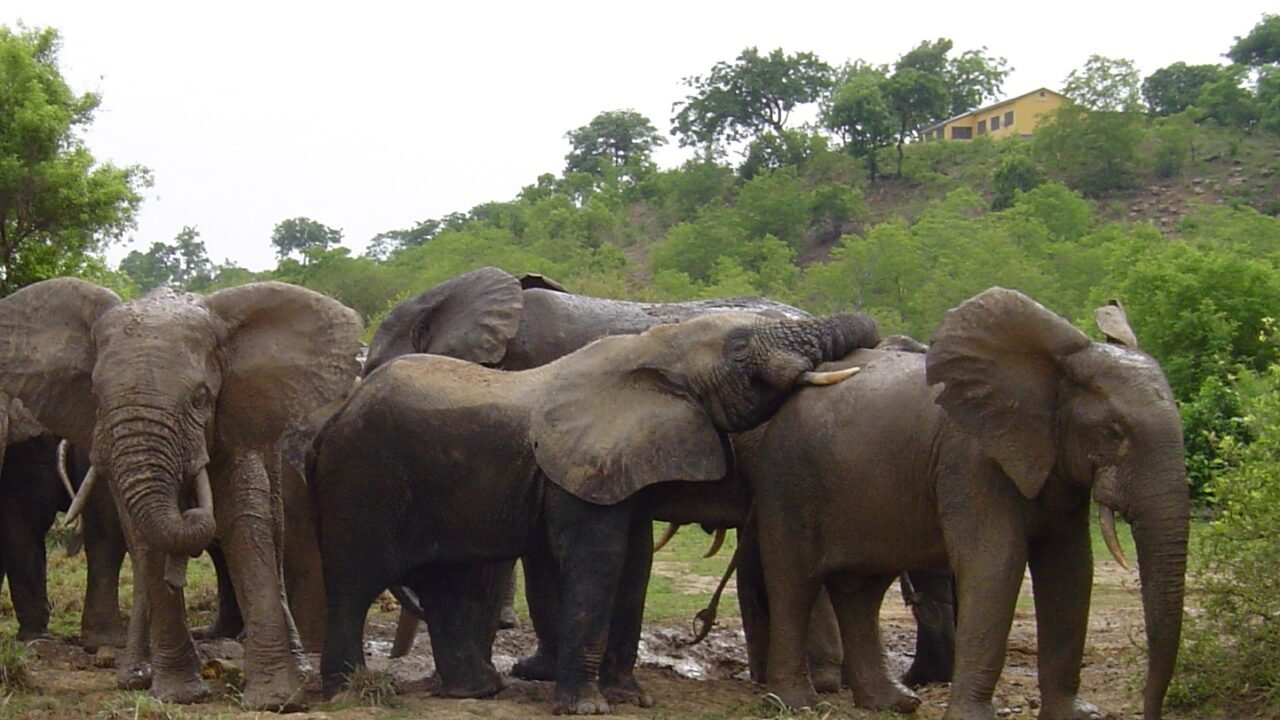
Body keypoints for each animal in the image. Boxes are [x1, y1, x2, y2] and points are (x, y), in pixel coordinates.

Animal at [0, 278, 362, 709]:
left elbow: (245, 524)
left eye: (200, 398)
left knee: (273, 529)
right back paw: (134, 675)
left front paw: (275, 700)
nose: (191, 509)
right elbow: (147, 537)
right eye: (95, 395)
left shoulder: (234, 419)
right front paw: (179, 695)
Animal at [308, 308, 881, 714]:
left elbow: (635, 563)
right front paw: (587, 707)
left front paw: (632, 698)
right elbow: (600, 560)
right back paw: (350, 693)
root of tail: (338, 413)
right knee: (355, 582)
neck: (654, 346)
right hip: (360, 478)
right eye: (739, 349)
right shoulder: (580, 471)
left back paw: (477, 692)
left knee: (442, 581)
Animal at [746, 288, 1188, 720]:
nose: (1149, 713)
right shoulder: (971, 461)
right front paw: (973, 716)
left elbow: (1072, 569)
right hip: (787, 478)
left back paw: (892, 702)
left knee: (863, 590)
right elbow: (996, 564)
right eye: (1114, 430)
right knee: (794, 582)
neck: (1050, 372)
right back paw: (795, 704)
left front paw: (1079, 715)